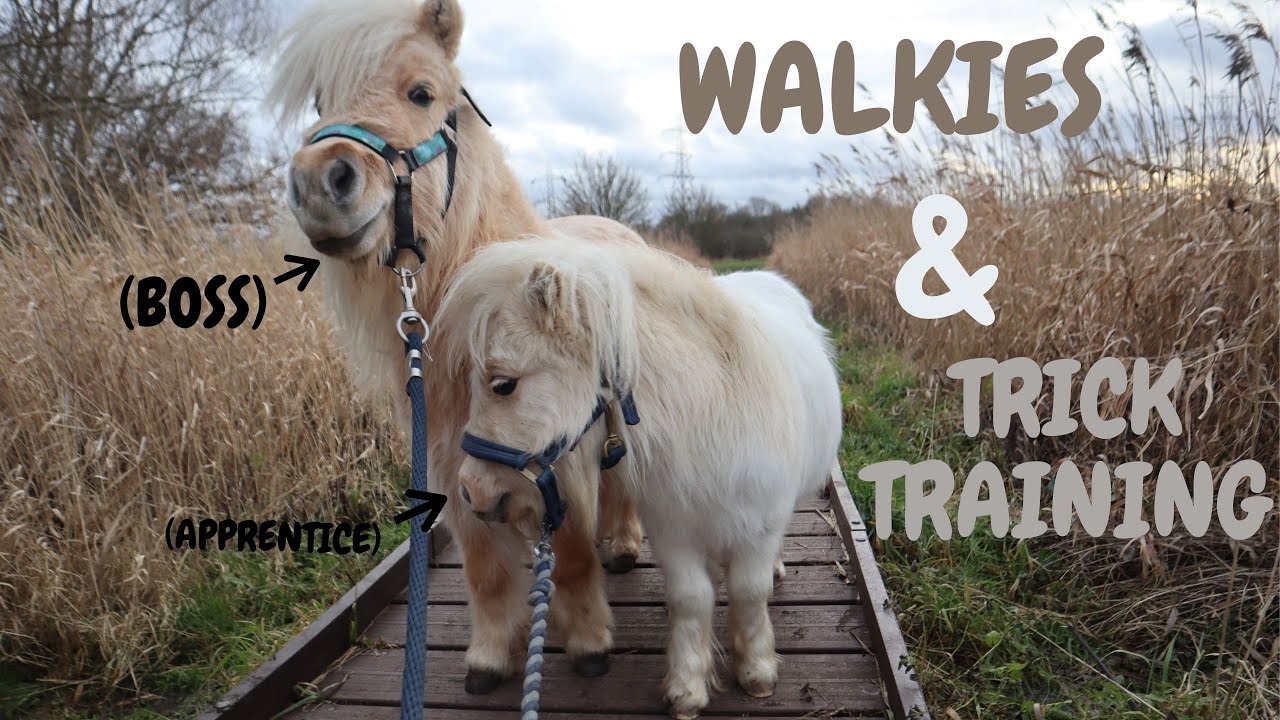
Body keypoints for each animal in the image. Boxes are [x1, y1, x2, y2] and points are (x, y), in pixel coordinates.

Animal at [268, 0, 645, 692]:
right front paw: (491, 657)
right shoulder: (453, 466)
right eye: (320, 101)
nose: (318, 184)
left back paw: (626, 545)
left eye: (422, 93)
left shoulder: (556, 455)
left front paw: (587, 643)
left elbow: (571, 554)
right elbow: (484, 567)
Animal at [435, 238, 844, 719]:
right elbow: (691, 598)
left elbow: (749, 591)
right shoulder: (675, 531)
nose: (471, 491)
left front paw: (757, 671)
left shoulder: (760, 525)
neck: (711, 406)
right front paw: (687, 688)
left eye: (502, 384)